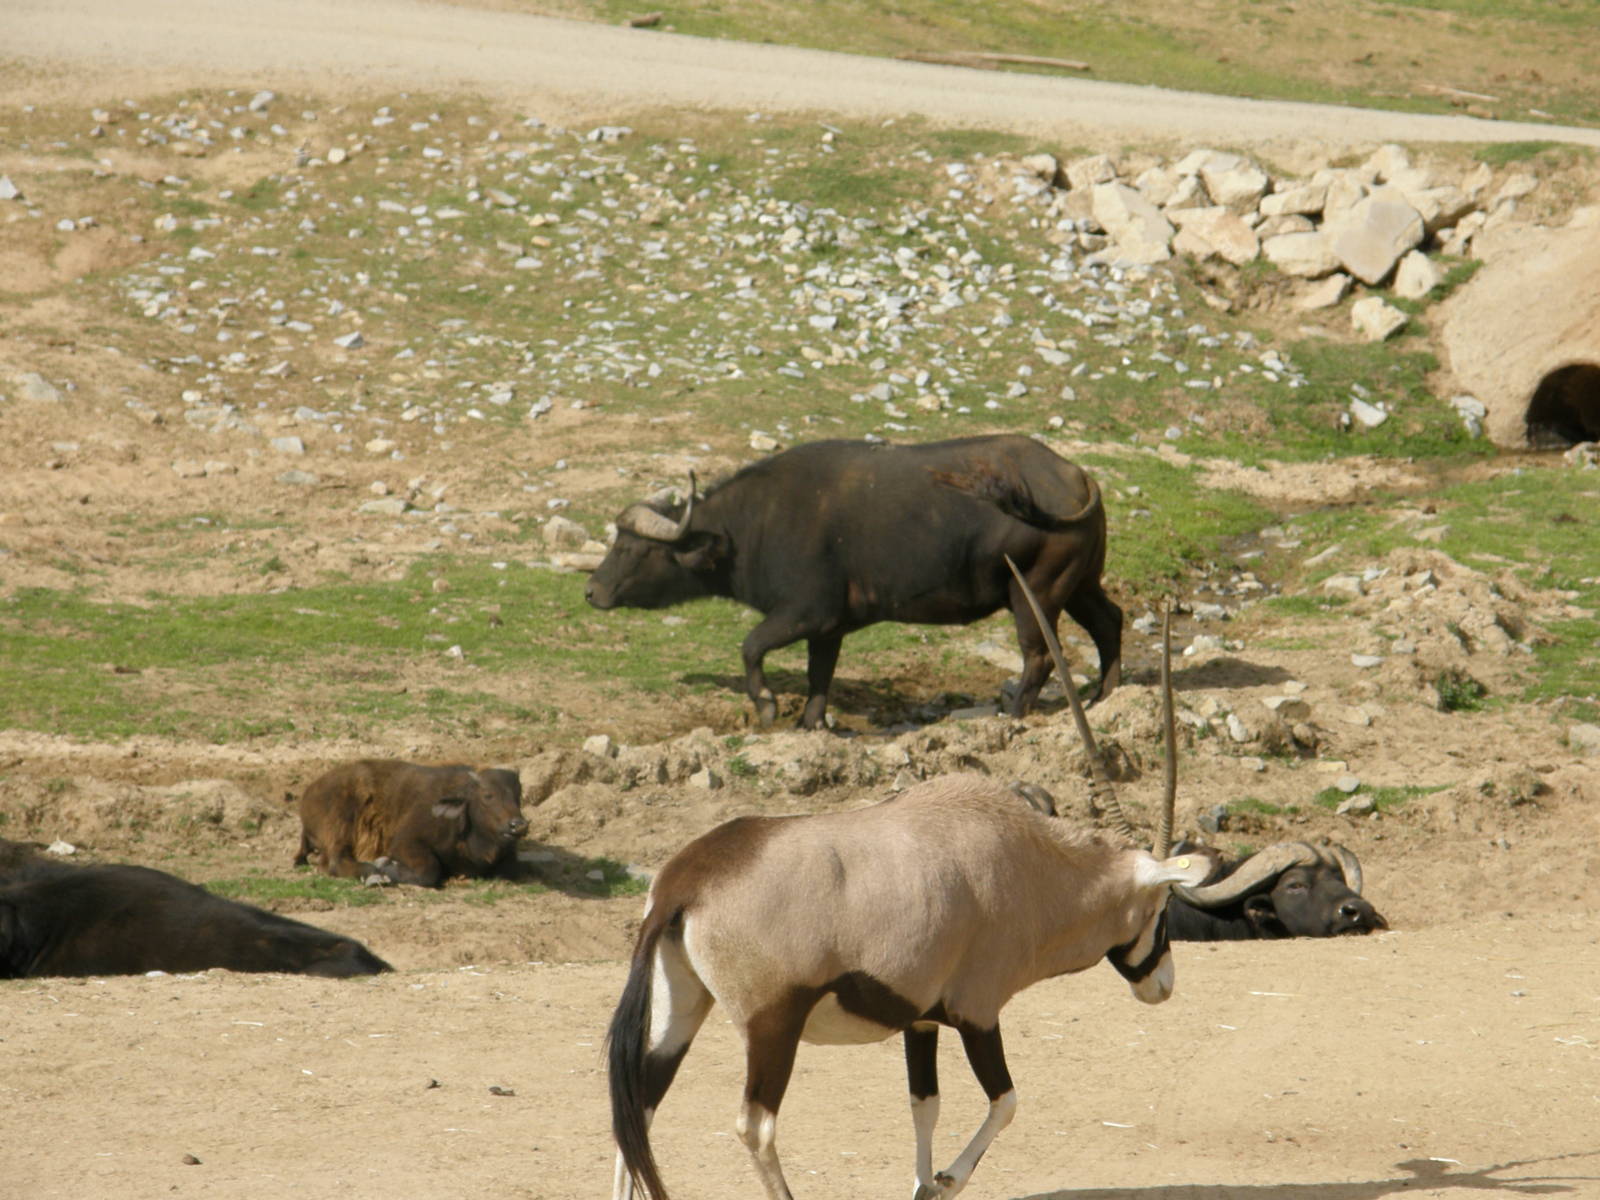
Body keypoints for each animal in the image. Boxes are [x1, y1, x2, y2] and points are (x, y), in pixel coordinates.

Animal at [293, 759, 527, 887]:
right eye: (488, 795)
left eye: (518, 795)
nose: (518, 825)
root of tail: (309, 793)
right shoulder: (406, 842)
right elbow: (428, 870)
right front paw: (385, 865)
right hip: (339, 825)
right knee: (335, 861)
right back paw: (374, 874)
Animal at [585, 434, 1122, 730]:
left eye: (633, 549)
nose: (592, 591)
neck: (752, 527)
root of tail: (1075, 475)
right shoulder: (829, 629)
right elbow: (819, 676)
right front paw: (811, 722)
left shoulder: (805, 612)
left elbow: (750, 646)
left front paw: (767, 706)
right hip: (1080, 583)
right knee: (1109, 621)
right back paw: (1105, 696)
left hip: (1036, 591)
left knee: (1040, 655)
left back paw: (1013, 716)